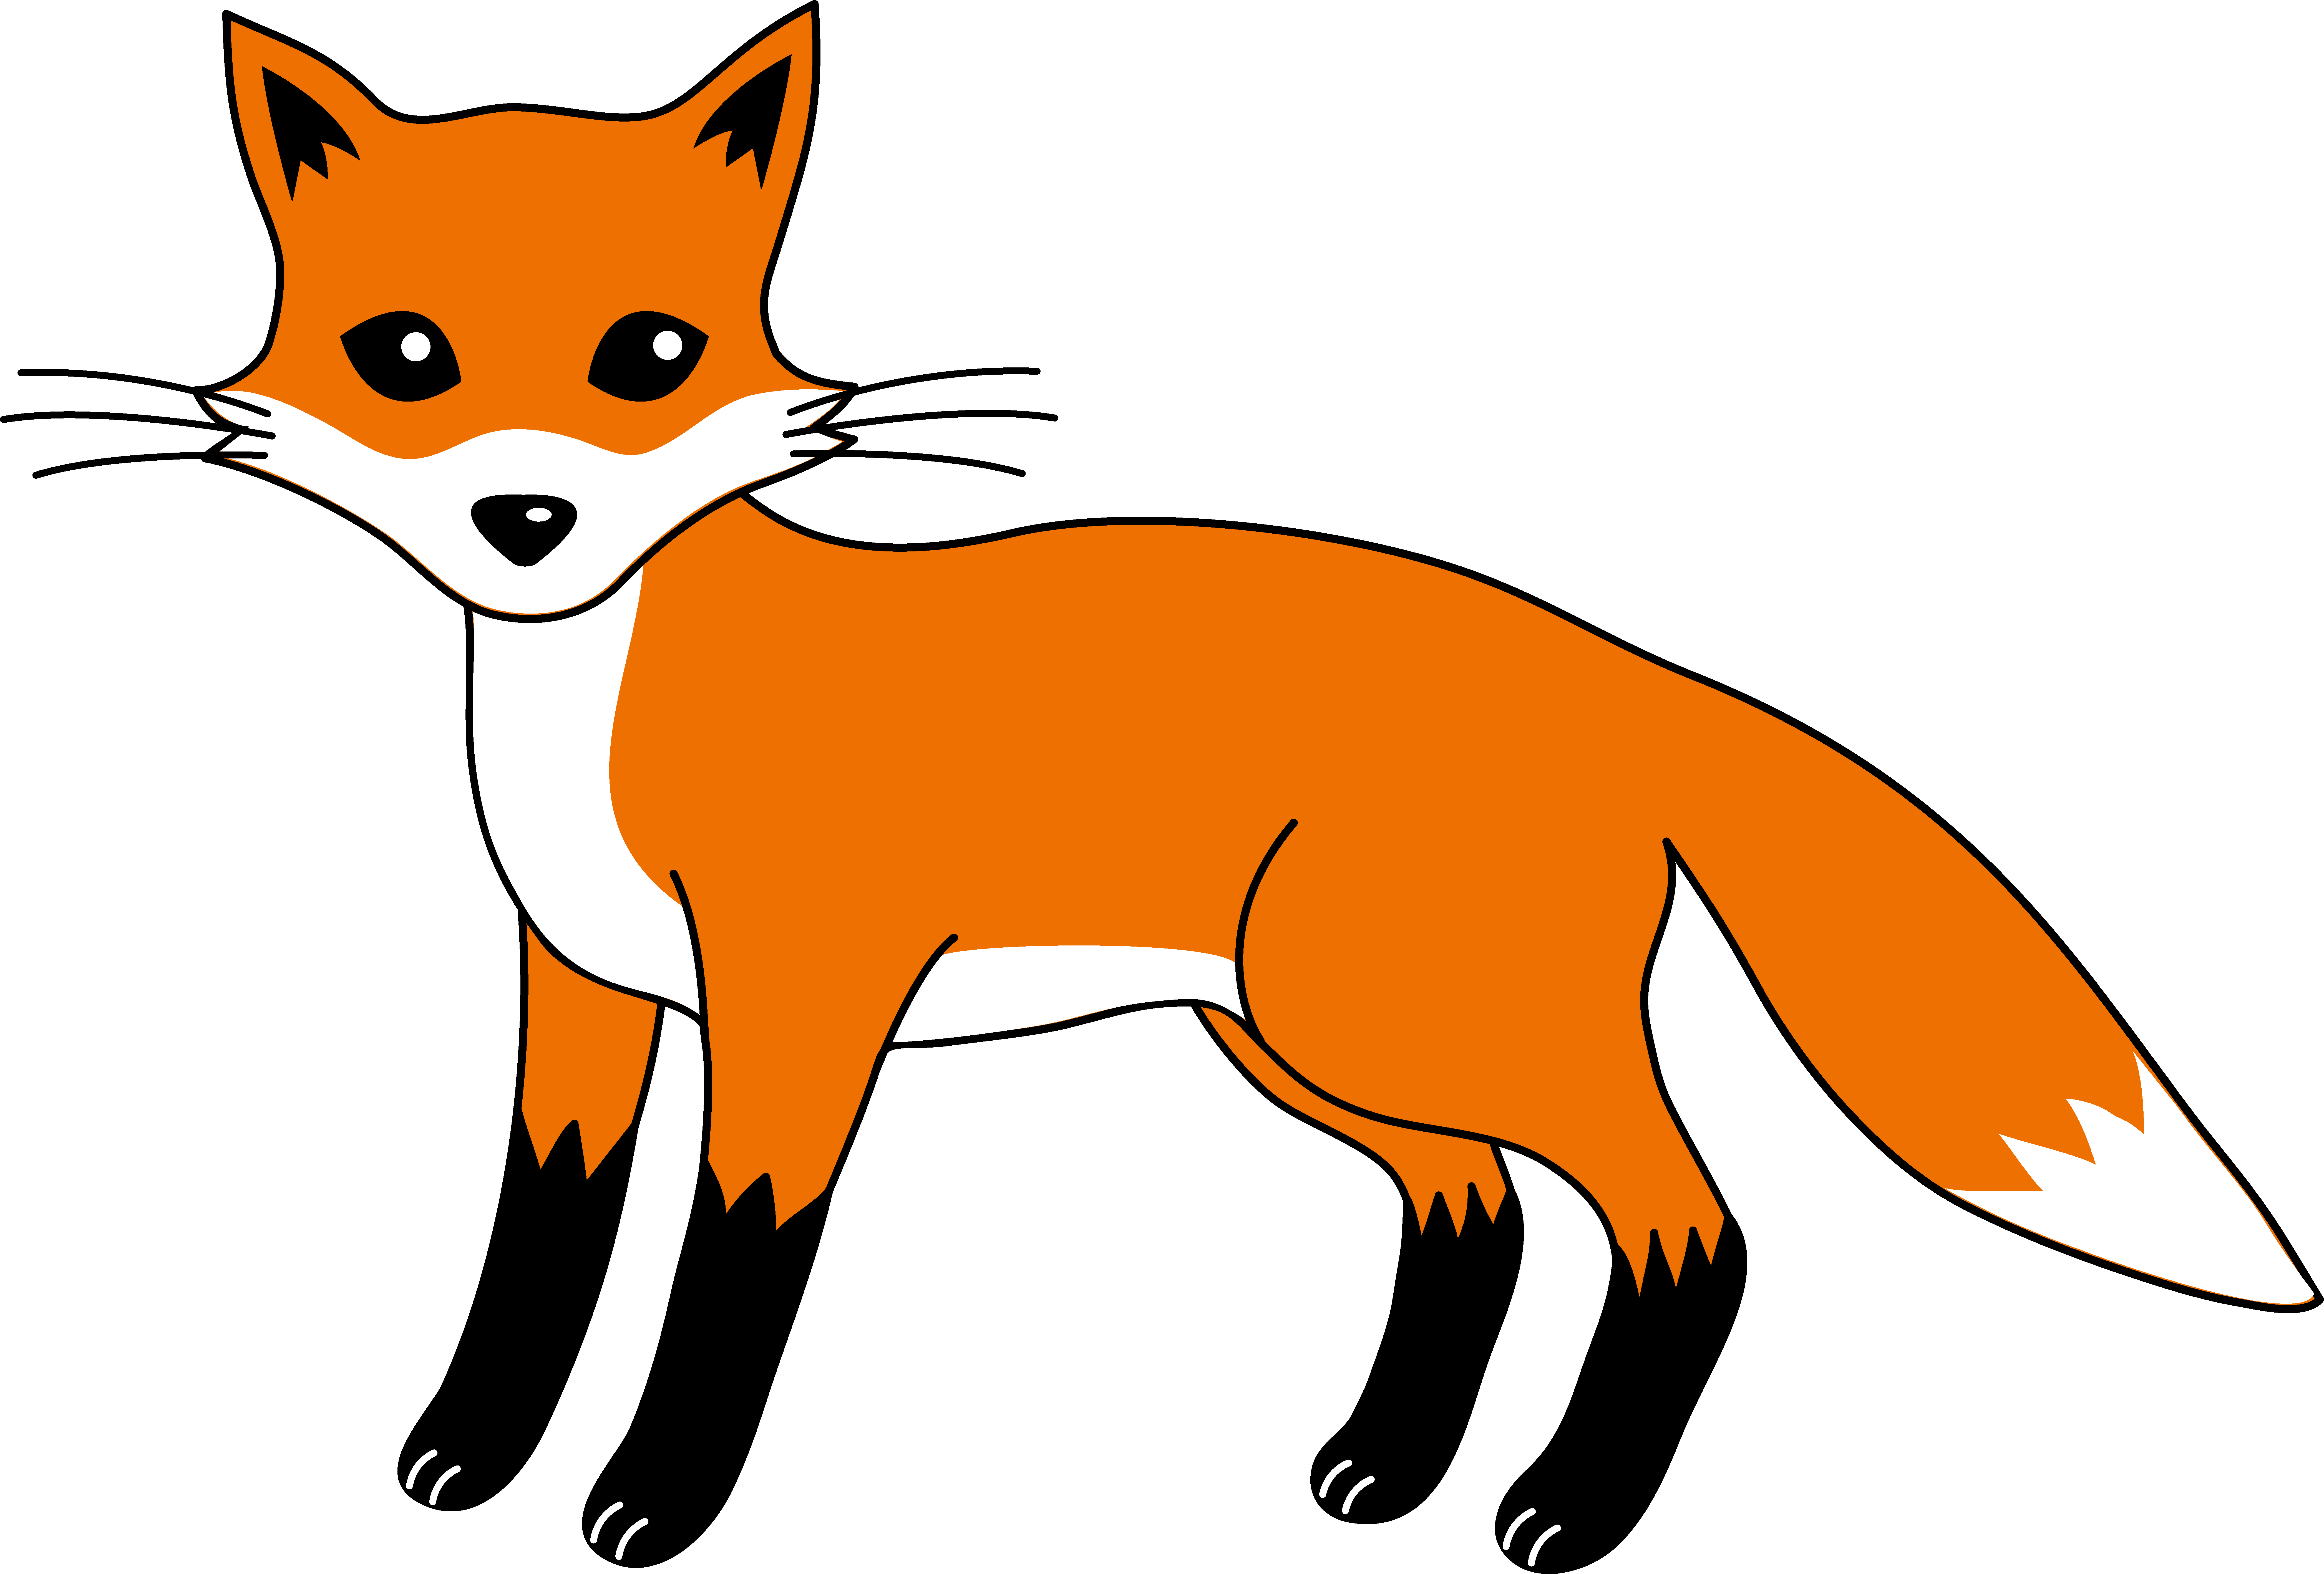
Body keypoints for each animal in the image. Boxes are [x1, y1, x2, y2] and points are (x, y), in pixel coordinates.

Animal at [7, 6, 2316, 1570]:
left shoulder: (802, 996)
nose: (523, 520)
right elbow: (539, 1234)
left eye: (647, 356)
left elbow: (728, 1267)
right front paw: (468, 1453)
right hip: (1297, 1034)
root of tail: (1617, 660)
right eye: (402, 356)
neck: (607, 696)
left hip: (1409, 1015)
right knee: (1471, 1212)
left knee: (1690, 1227)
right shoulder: (579, 989)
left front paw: (655, 1493)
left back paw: (1565, 1502)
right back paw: (1386, 1467)